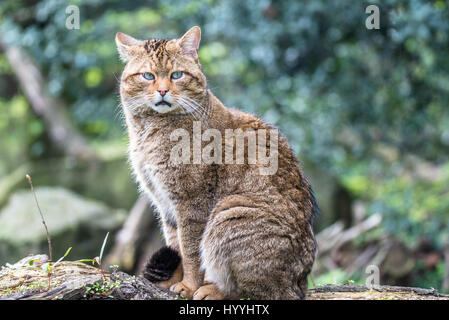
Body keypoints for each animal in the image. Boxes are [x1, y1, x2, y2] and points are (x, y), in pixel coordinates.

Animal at [115, 25, 318, 300]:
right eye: (148, 75)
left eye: (177, 75)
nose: (163, 91)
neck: (150, 130)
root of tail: (299, 284)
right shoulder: (165, 204)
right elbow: (175, 246)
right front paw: (172, 282)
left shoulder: (191, 202)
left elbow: (191, 253)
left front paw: (189, 286)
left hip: (227, 214)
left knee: (252, 290)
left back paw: (212, 289)